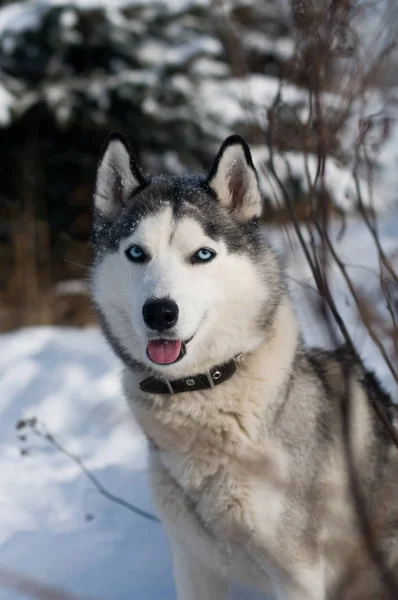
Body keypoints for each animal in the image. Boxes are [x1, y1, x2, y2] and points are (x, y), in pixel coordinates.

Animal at [90, 132, 398, 600]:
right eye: (136, 252)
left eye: (202, 255)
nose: (159, 312)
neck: (204, 392)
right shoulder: (194, 565)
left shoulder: (296, 572)